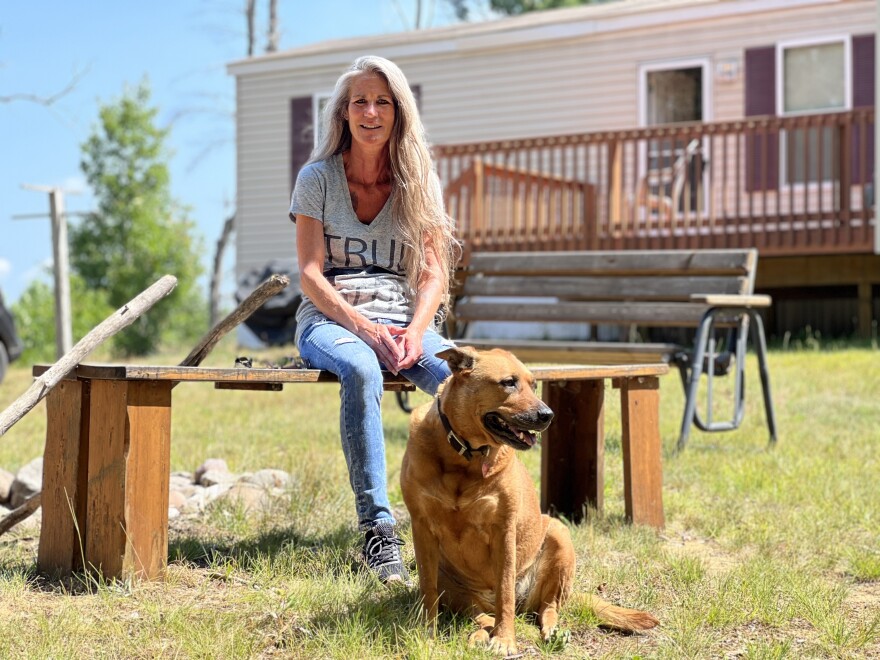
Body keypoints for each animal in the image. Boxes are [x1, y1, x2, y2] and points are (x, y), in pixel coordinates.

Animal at [402, 346, 656, 656]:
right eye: (508, 383)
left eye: (534, 385)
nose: (548, 415)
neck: (464, 458)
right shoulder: (422, 527)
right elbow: (427, 589)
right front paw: (426, 633)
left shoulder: (503, 530)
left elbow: (505, 593)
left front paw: (505, 640)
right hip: (455, 586)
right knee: (481, 615)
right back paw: (479, 635)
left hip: (558, 534)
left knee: (547, 608)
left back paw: (550, 631)